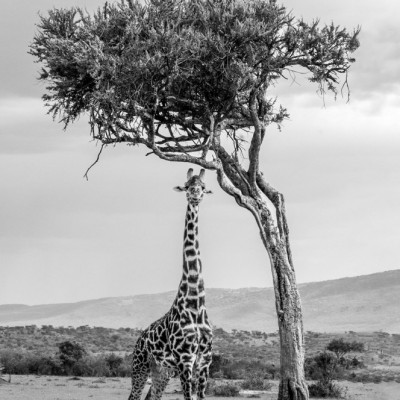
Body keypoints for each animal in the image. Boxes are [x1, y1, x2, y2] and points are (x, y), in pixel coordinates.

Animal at [128, 168, 213, 400]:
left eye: (203, 187)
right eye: (187, 185)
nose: (195, 195)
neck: (196, 303)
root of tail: (139, 338)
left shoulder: (205, 360)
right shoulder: (185, 359)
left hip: (162, 372)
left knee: (152, 397)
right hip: (140, 367)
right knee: (134, 396)